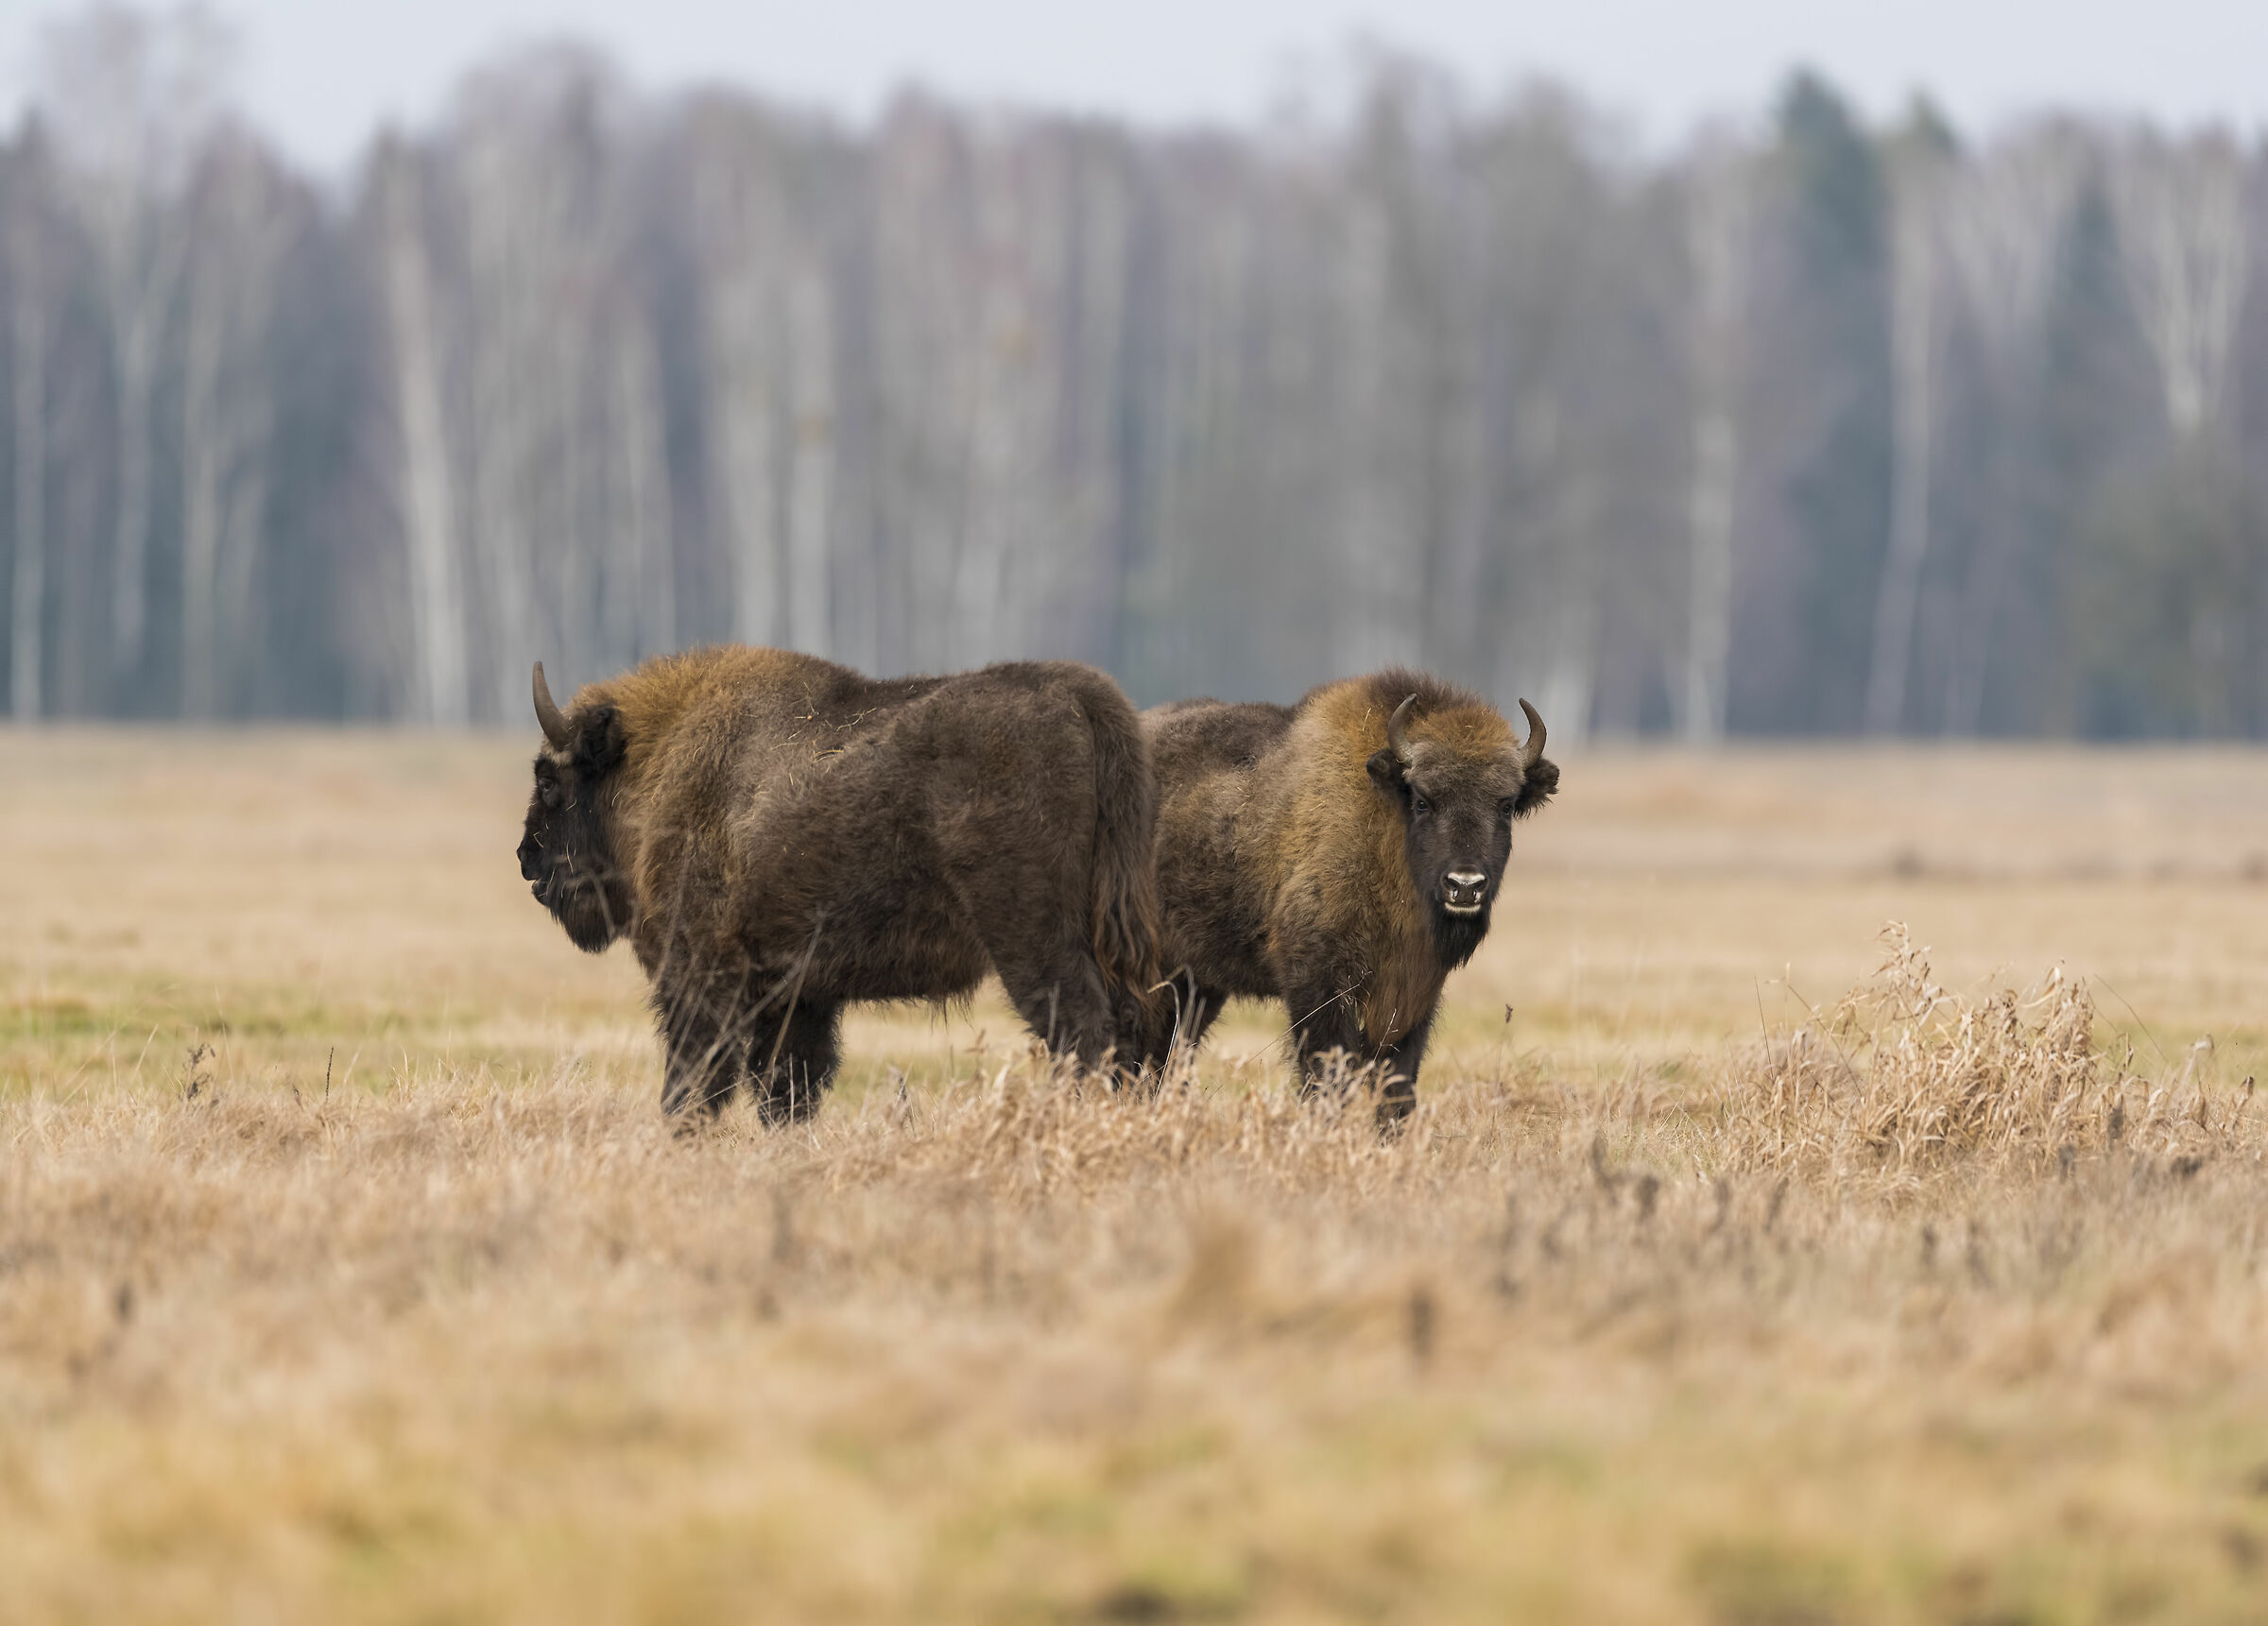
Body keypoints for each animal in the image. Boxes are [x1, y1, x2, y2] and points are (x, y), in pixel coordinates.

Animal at [518, 647, 1160, 1120]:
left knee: (1082, 1033)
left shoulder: (700, 973)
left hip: (1033, 941)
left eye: (550, 781)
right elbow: (786, 1089)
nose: (527, 860)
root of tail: (1080, 696)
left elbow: (695, 1082)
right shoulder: (795, 994)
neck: (657, 764)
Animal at [1143, 668, 1556, 1121]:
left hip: (1199, 982)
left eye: (1505, 805)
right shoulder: (1318, 981)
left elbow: (1398, 1082)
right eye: (1423, 801)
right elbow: (1329, 1073)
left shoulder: (1414, 993)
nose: (1464, 886)